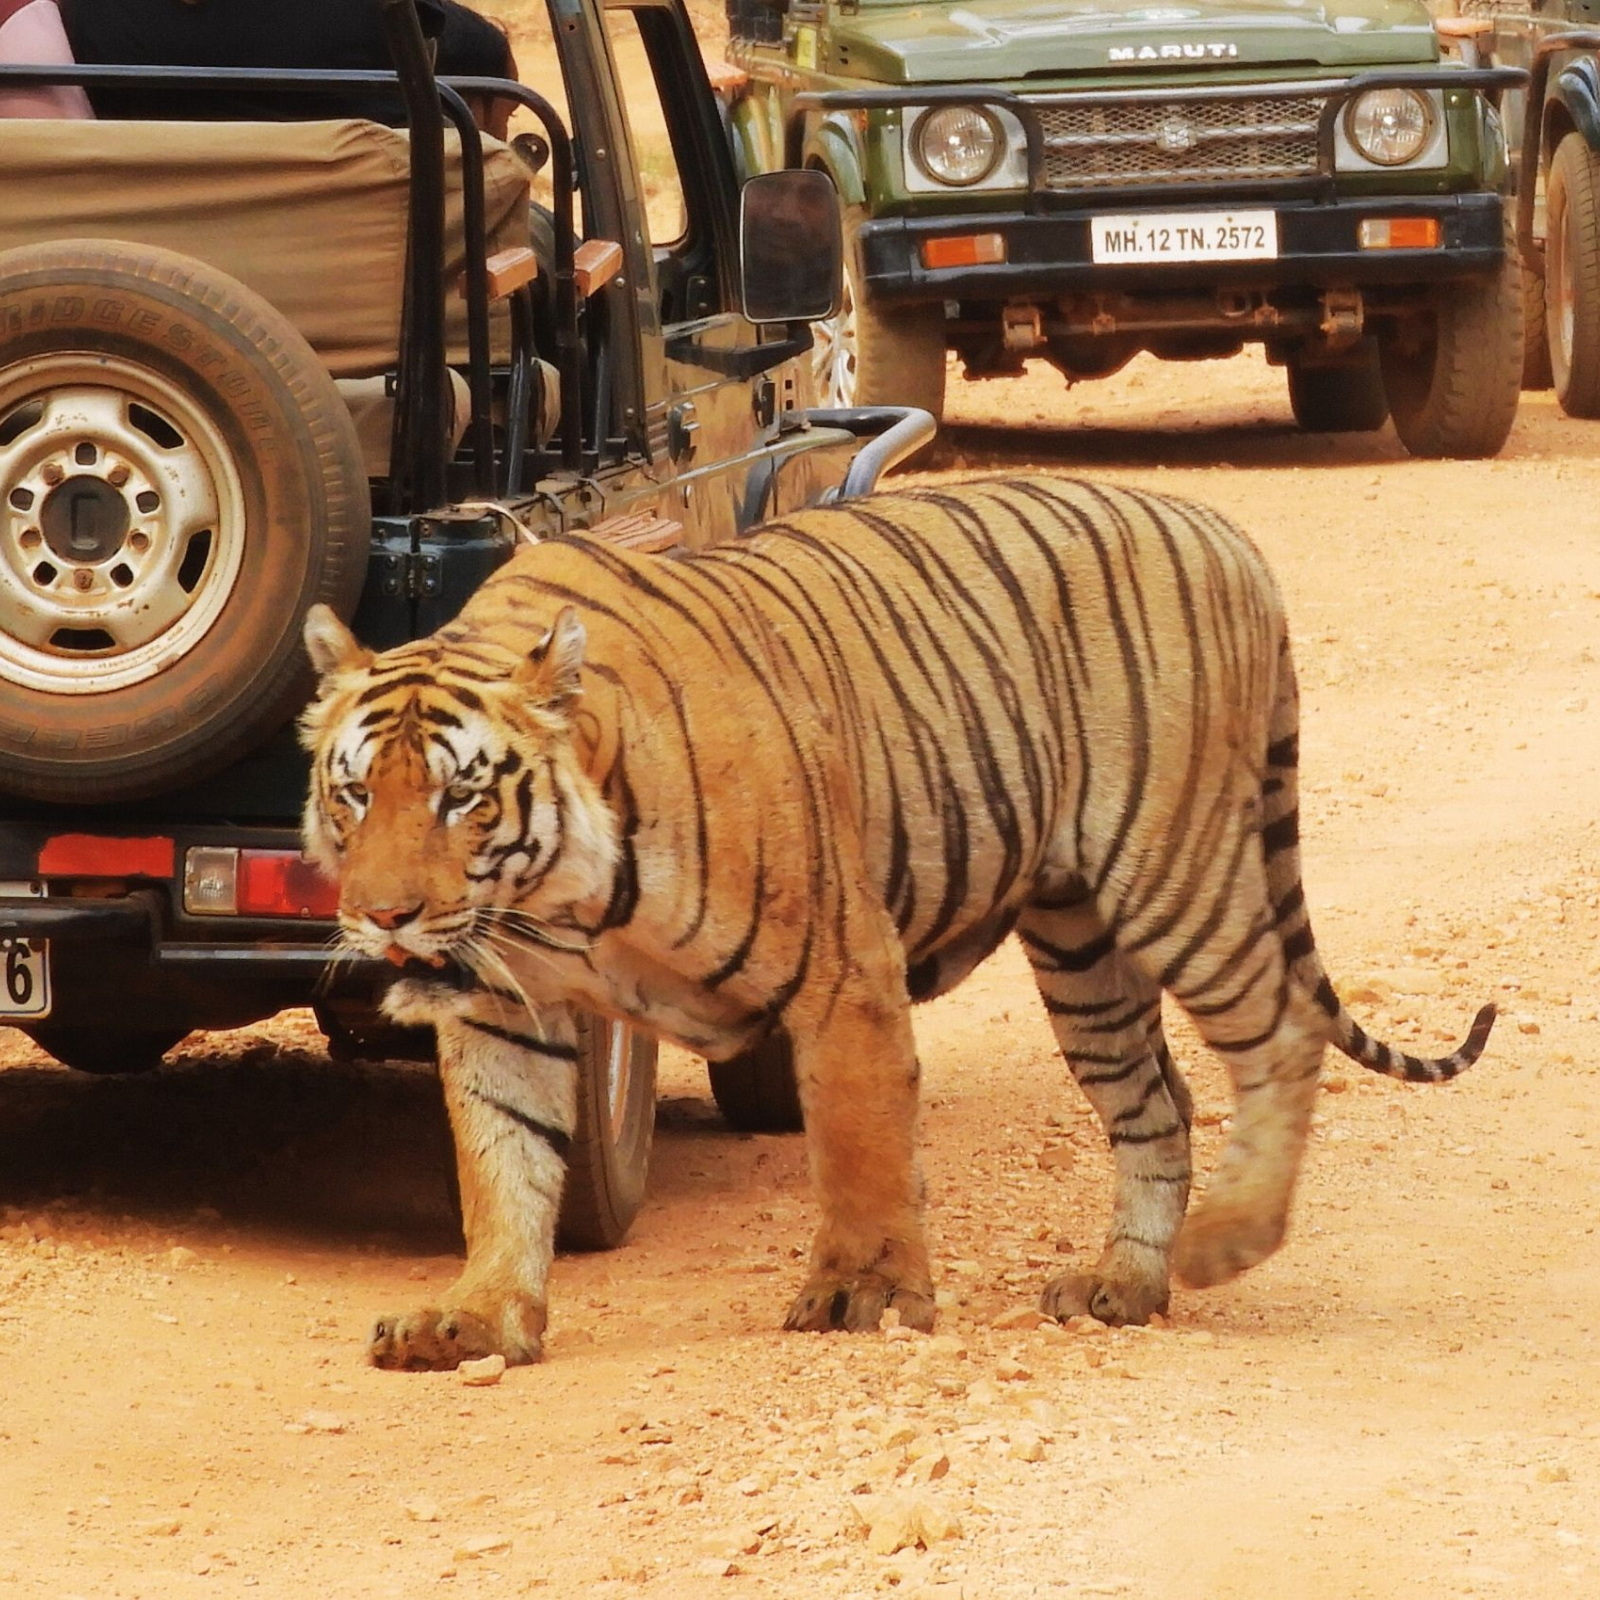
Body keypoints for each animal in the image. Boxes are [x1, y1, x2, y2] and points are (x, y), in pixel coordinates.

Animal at [299, 475, 1494, 1371]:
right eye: (354, 794)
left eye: (460, 797)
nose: (384, 914)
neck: (558, 907)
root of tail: (1226, 533)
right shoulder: (505, 1005)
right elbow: (502, 1158)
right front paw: (475, 1318)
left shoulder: (842, 965)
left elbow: (857, 1139)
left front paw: (863, 1298)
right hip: (1082, 945)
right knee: (1160, 1100)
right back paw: (1125, 1281)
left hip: (1173, 872)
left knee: (1281, 1029)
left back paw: (1229, 1242)